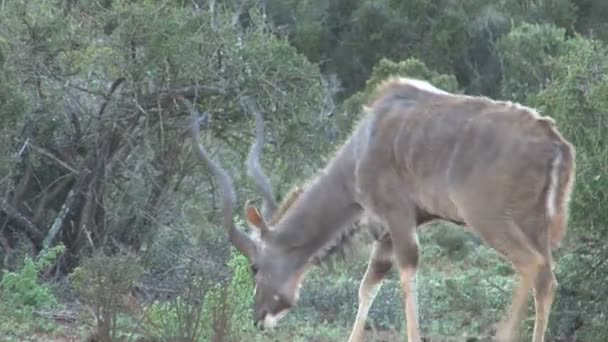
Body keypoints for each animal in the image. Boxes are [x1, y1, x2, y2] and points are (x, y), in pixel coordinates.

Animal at [189, 77, 576, 342]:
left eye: (254, 266)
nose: (259, 317)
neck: (361, 148)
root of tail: (554, 143)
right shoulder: (386, 234)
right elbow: (368, 285)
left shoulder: (399, 217)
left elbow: (406, 274)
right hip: (534, 225)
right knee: (547, 279)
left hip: (490, 221)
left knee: (531, 265)